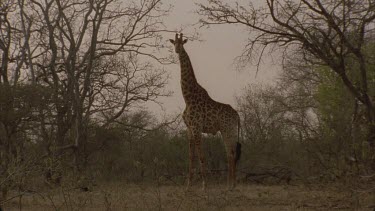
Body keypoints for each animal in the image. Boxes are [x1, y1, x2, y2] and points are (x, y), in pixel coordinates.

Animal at [170, 33, 242, 190]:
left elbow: (201, 156)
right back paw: (231, 185)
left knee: (231, 153)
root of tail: (237, 116)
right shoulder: (189, 128)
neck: (188, 97)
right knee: (231, 153)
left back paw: (231, 185)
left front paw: (204, 186)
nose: (177, 50)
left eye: (182, 43)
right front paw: (188, 186)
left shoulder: (197, 127)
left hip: (228, 129)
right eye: (174, 43)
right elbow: (191, 157)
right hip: (228, 130)